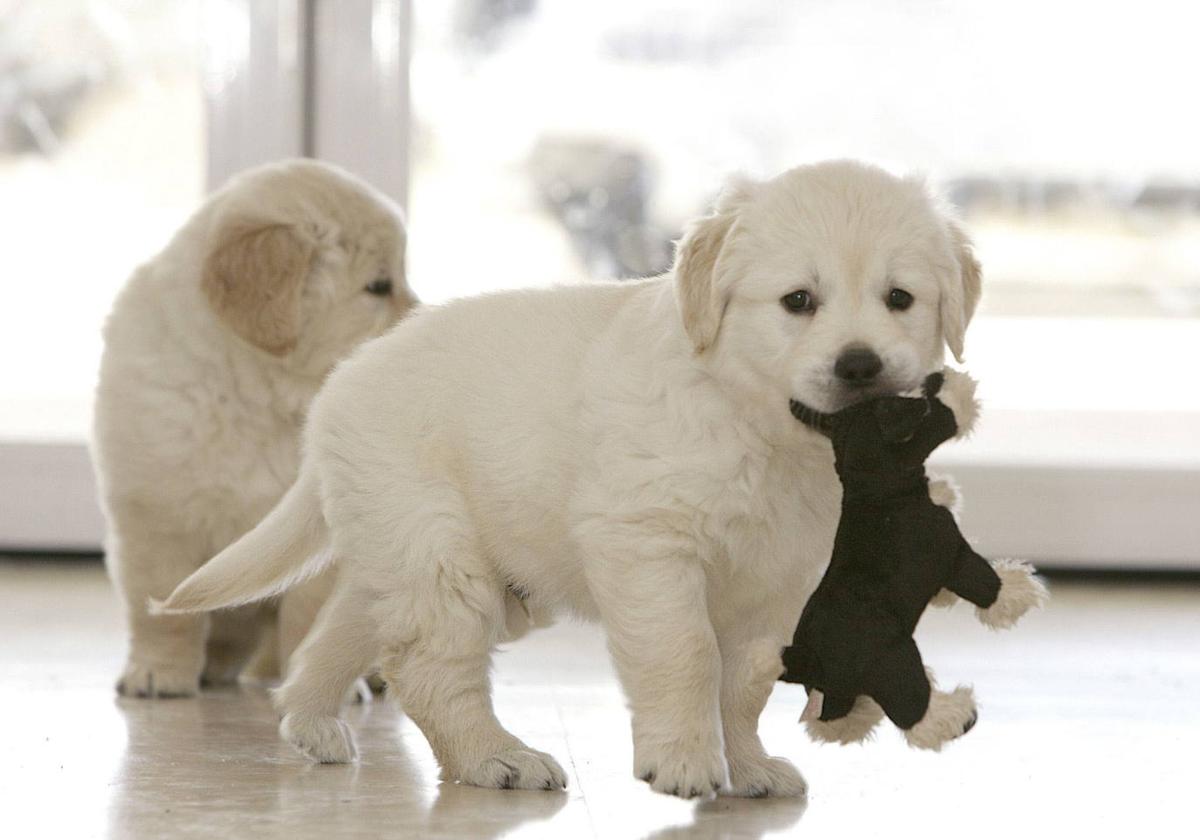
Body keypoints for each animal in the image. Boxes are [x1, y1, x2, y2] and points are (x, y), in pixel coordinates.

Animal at [92, 160, 417, 700]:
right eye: (377, 286)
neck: (258, 395)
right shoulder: (158, 516)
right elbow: (163, 612)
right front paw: (160, 673)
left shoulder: (316, 537)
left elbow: (307, 618)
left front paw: (318, 686)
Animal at [162, 160, 984, 796]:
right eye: (798, 302)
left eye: (900, 299)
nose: (860, 366)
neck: (756, 426)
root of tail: (336, 391)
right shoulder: (647, 543)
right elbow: (687, 654)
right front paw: (683, 763)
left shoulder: (775, 581)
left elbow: (744, 684)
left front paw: (747, 766)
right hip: (439, 552)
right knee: (426, 668)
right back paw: (495, 759)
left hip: (404, 555)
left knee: (346, 632)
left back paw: (313, 723)